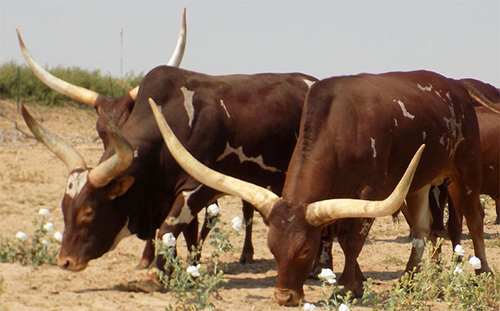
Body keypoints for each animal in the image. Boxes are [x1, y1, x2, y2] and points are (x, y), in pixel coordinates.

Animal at [150, 69, 490, 306]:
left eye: (304, 250)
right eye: (272, 247)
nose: (284, 298)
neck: (342, 126)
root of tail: (455, 86)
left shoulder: (371, 193)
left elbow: (352, 241)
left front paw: (346, 287)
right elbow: (339, 238)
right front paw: (355, 283)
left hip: (466, 166)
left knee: (474, 218)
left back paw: (482, 273)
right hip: (419, 181)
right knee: (421, 227)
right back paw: (408, 279)